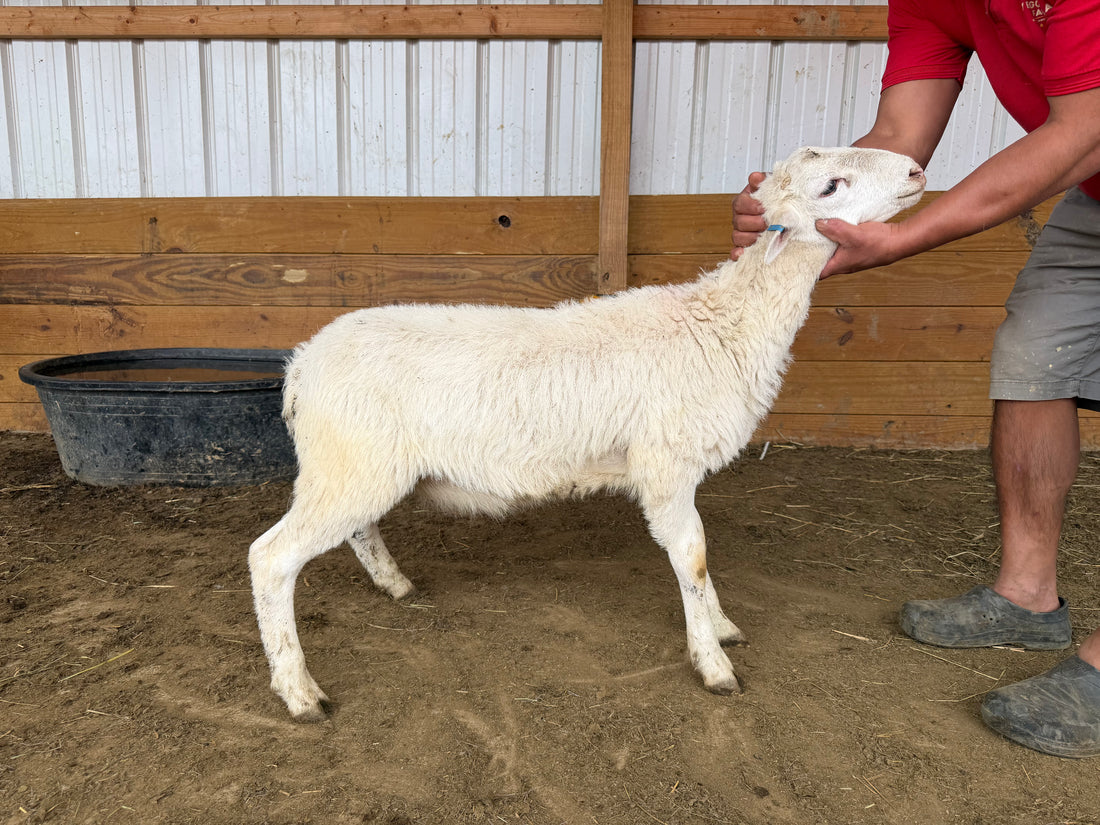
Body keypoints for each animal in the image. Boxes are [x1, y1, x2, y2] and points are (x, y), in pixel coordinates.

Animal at [249, 145, 926, 721]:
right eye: (831, 185)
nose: (919, 170)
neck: (722, 324)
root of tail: (300, 365)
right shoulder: (666, 464)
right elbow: (693, 556)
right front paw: (713, 662)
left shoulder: (678, 469)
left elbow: (699, 558)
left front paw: (721, 624)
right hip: (349, 463)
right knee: (271, 558)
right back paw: (299, 692)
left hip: (357, 466)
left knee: (357, 529)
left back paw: (395, 585)